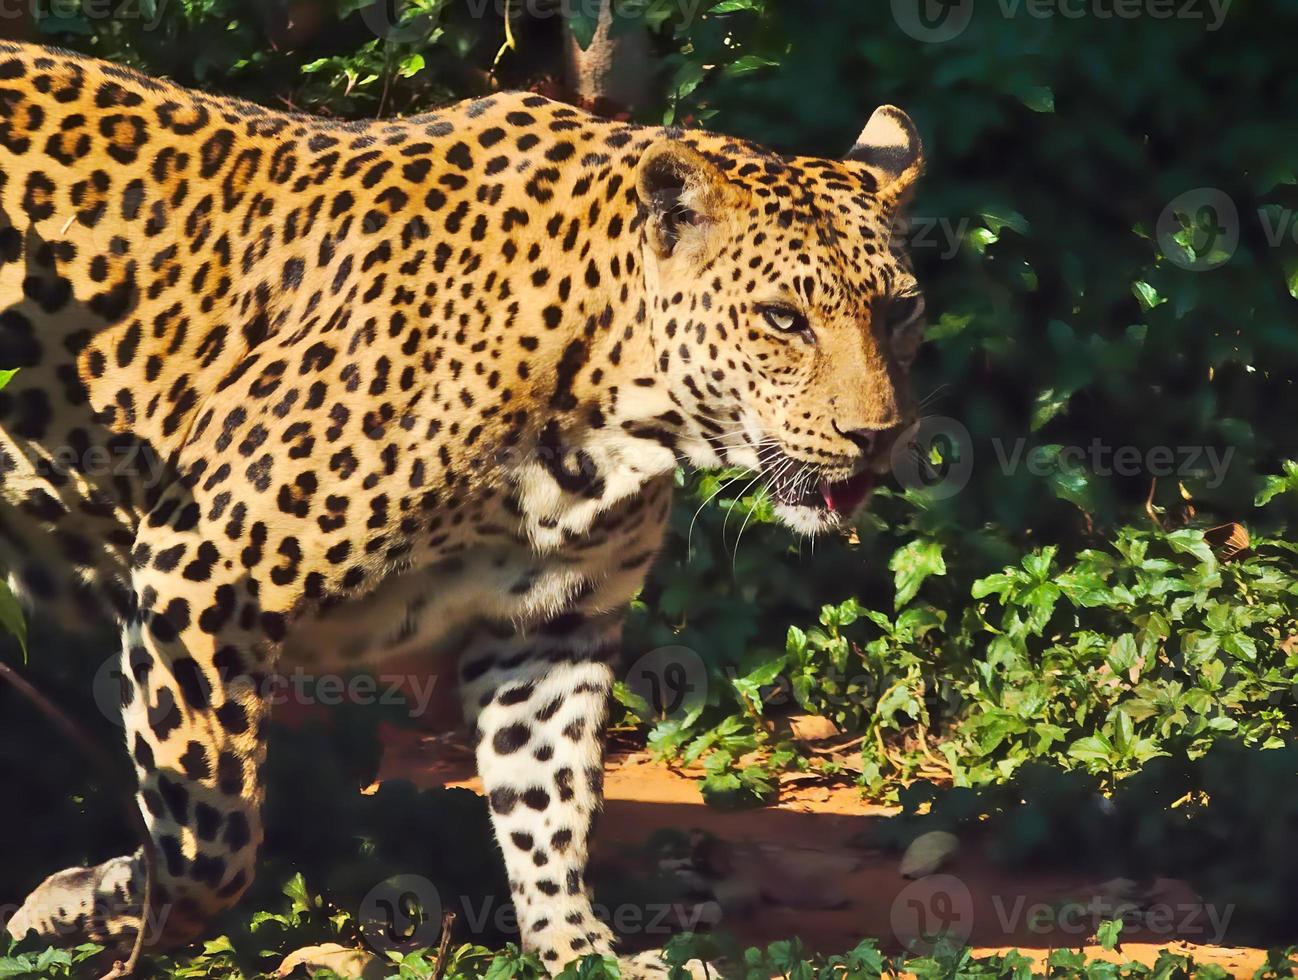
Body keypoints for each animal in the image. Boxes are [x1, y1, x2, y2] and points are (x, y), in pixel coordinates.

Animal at [0, 36, 929, 976]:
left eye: (903, 310)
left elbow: (547, 802)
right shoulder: (199, 566)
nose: (876, 435)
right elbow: (209, 836)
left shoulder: (552, 622)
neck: (614, 411)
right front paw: (106, 908)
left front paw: (580, 949)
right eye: (782, 319)